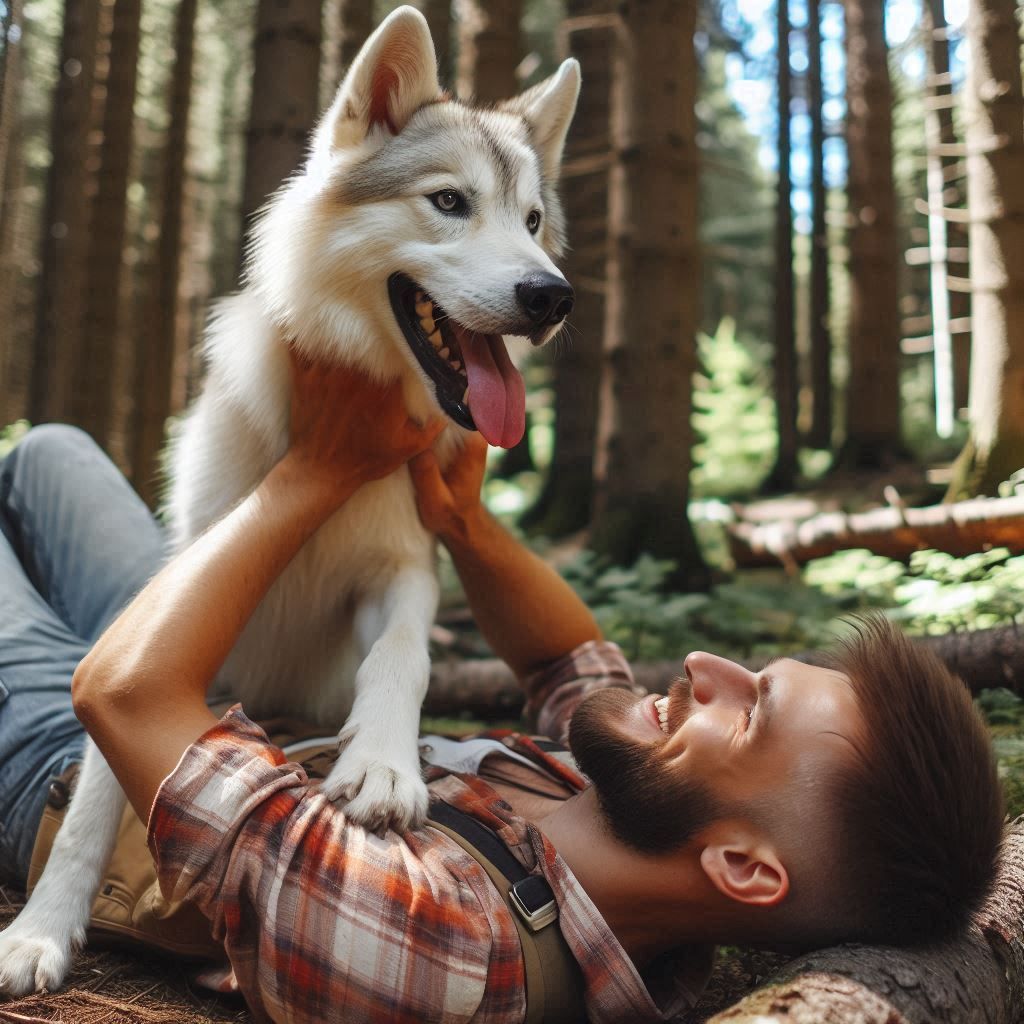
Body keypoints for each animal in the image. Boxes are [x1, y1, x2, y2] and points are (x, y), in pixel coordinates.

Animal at [0, 4, 581, 995]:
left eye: (534, 220)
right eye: (449, 202)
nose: (552, 295)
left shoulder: (402, 572)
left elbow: (402, 658)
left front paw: (382, 766)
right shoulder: (176, 611)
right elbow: (93, 795)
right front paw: (41, 931)